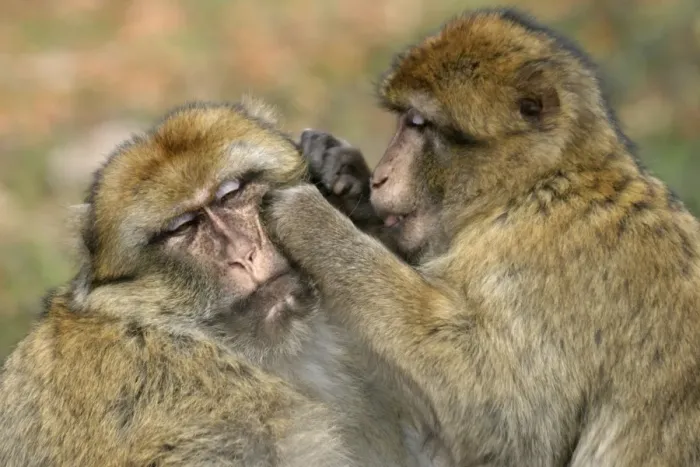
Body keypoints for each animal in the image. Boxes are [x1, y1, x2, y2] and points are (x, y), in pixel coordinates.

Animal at [264, 8, 700, 466]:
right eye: (403, 121)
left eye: (417, 123)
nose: (381, 176)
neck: (532, 187)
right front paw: (342, 174)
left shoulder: (538, 263)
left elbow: (508, 425)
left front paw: (311, 218)